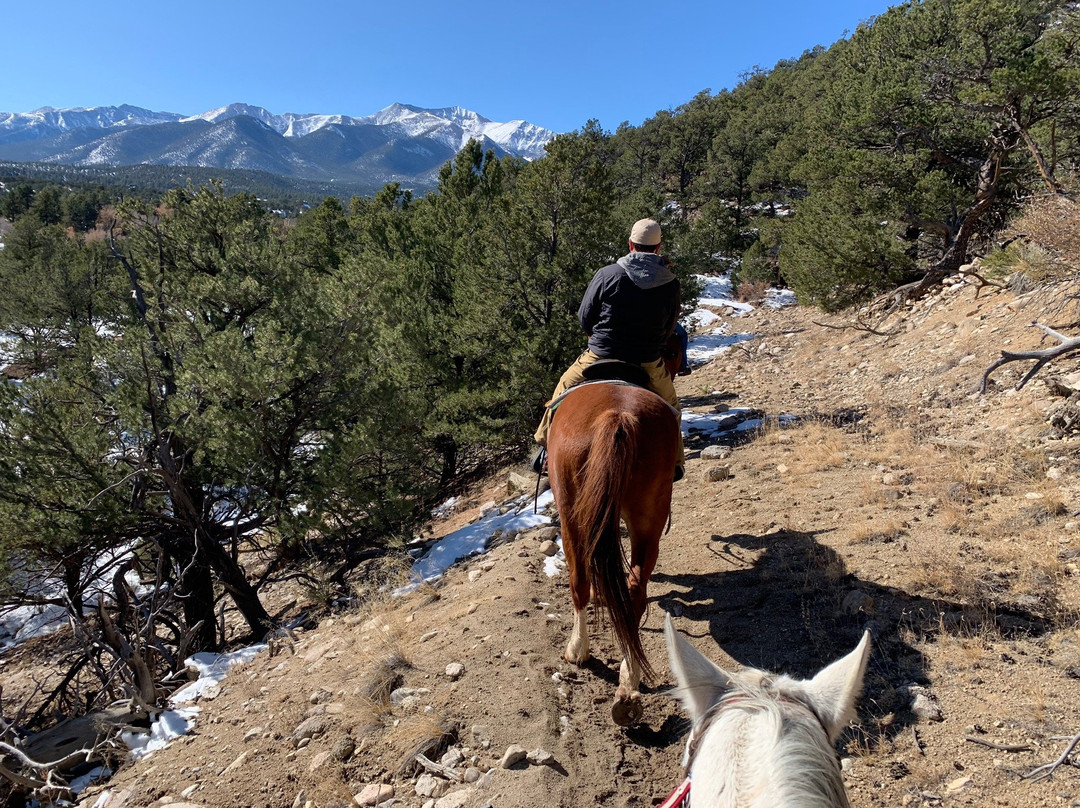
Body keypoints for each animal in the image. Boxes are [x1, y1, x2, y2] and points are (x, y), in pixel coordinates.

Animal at [548, 378, 673, 725]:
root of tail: (617, 416)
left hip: (570, 514)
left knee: (579, 583)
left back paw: (578, 650)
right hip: (649, 516)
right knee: (635, 590)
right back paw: (628, 686)